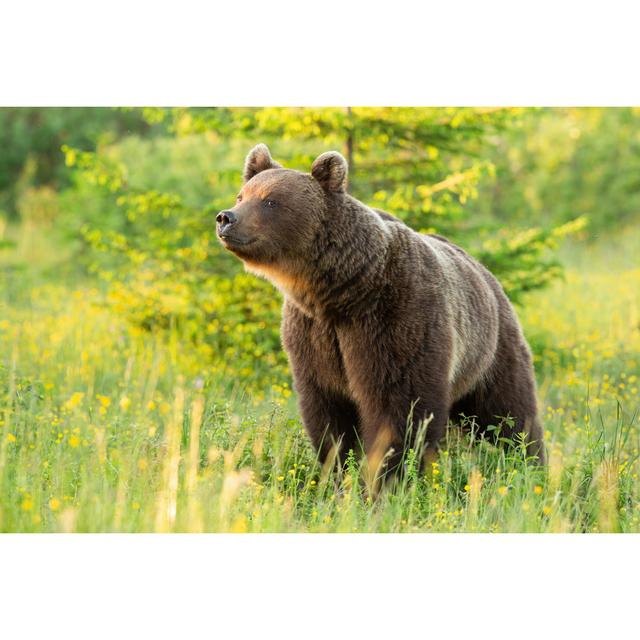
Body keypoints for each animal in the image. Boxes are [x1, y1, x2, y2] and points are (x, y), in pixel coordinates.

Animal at [216, 144, 544, 476]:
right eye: (242, 195)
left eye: (270, 201)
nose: (225, 217)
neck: (342, 292)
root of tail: (485, 272)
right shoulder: (313, 336)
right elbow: (328, 414)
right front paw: (337, 470)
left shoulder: (395, 321)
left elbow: (399, 406)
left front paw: (388, 475)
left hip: (490, 354)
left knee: (510, 413)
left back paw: (531, 466)